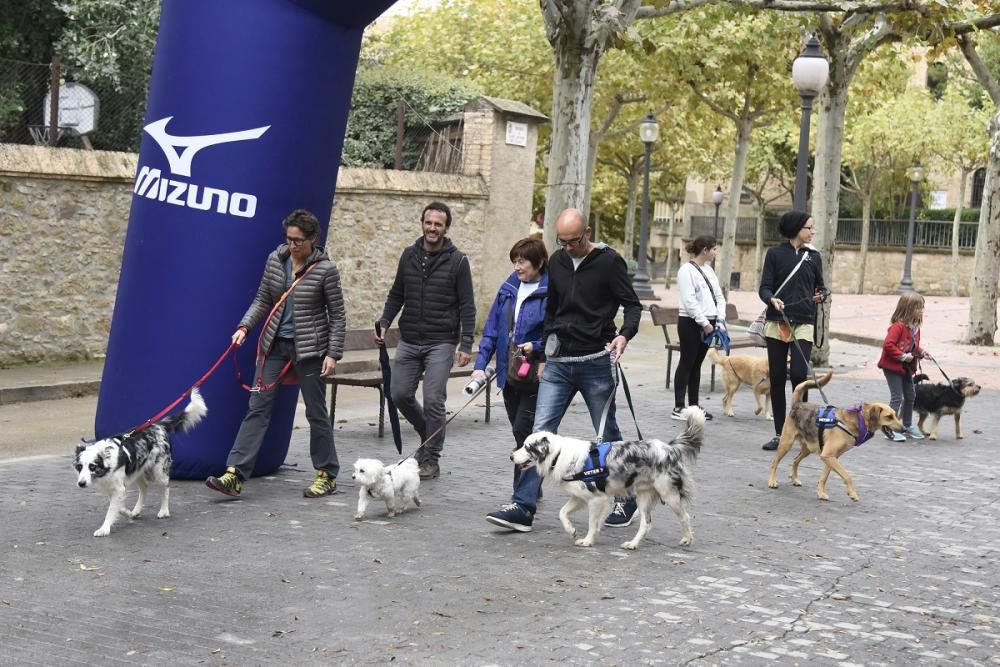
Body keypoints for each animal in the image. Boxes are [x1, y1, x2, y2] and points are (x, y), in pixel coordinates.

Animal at [75, 386, 207, 536]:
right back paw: (136, 510)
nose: (81, 483)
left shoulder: (118, 488)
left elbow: (111, 510)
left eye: (92, 466)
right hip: (138, 470)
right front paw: (127, 514)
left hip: (159, 472)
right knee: (144, 487)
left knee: (165, 488)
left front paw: (104, 528)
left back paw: (164, 511)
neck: (106, 463)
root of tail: (158, 426)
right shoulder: (114, 489)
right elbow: (118, 507)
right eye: (79, 467)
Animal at [764, 370, 908, 500]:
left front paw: (821, 493)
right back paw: (771, 481)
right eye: (889, 417)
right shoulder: (828, 456)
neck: (857, 420)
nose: (904, 429)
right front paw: (852, 493)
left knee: (795, 460)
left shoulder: (831, 457)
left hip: (808, 448)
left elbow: (824, 478)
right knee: (774, 462)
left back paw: (794, 479)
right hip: (786, 444)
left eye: (895, 415)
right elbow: (847, 476)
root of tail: (798, 404)